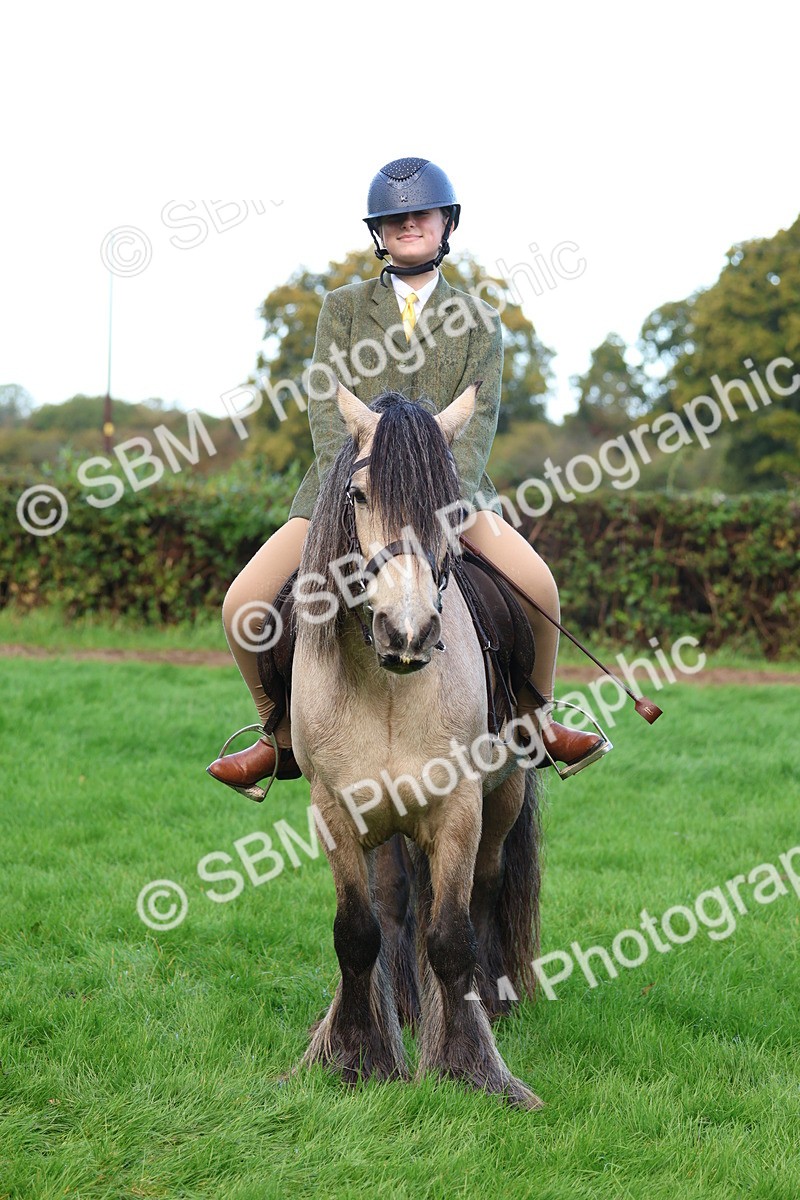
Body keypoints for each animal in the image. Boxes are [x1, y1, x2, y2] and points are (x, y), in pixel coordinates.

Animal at [287, 383, 543, 1109]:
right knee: (397, 901)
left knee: (483, 889)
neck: (389, 686)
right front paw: (356, 1056)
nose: (407, 633)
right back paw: (403, 1006)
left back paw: (491, 1001)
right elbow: (357, 932)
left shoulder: (459, 807)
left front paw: (469, 1068)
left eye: (452, 507)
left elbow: (452, 937)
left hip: (503, 797)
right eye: (358, 494)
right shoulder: (335, 808)